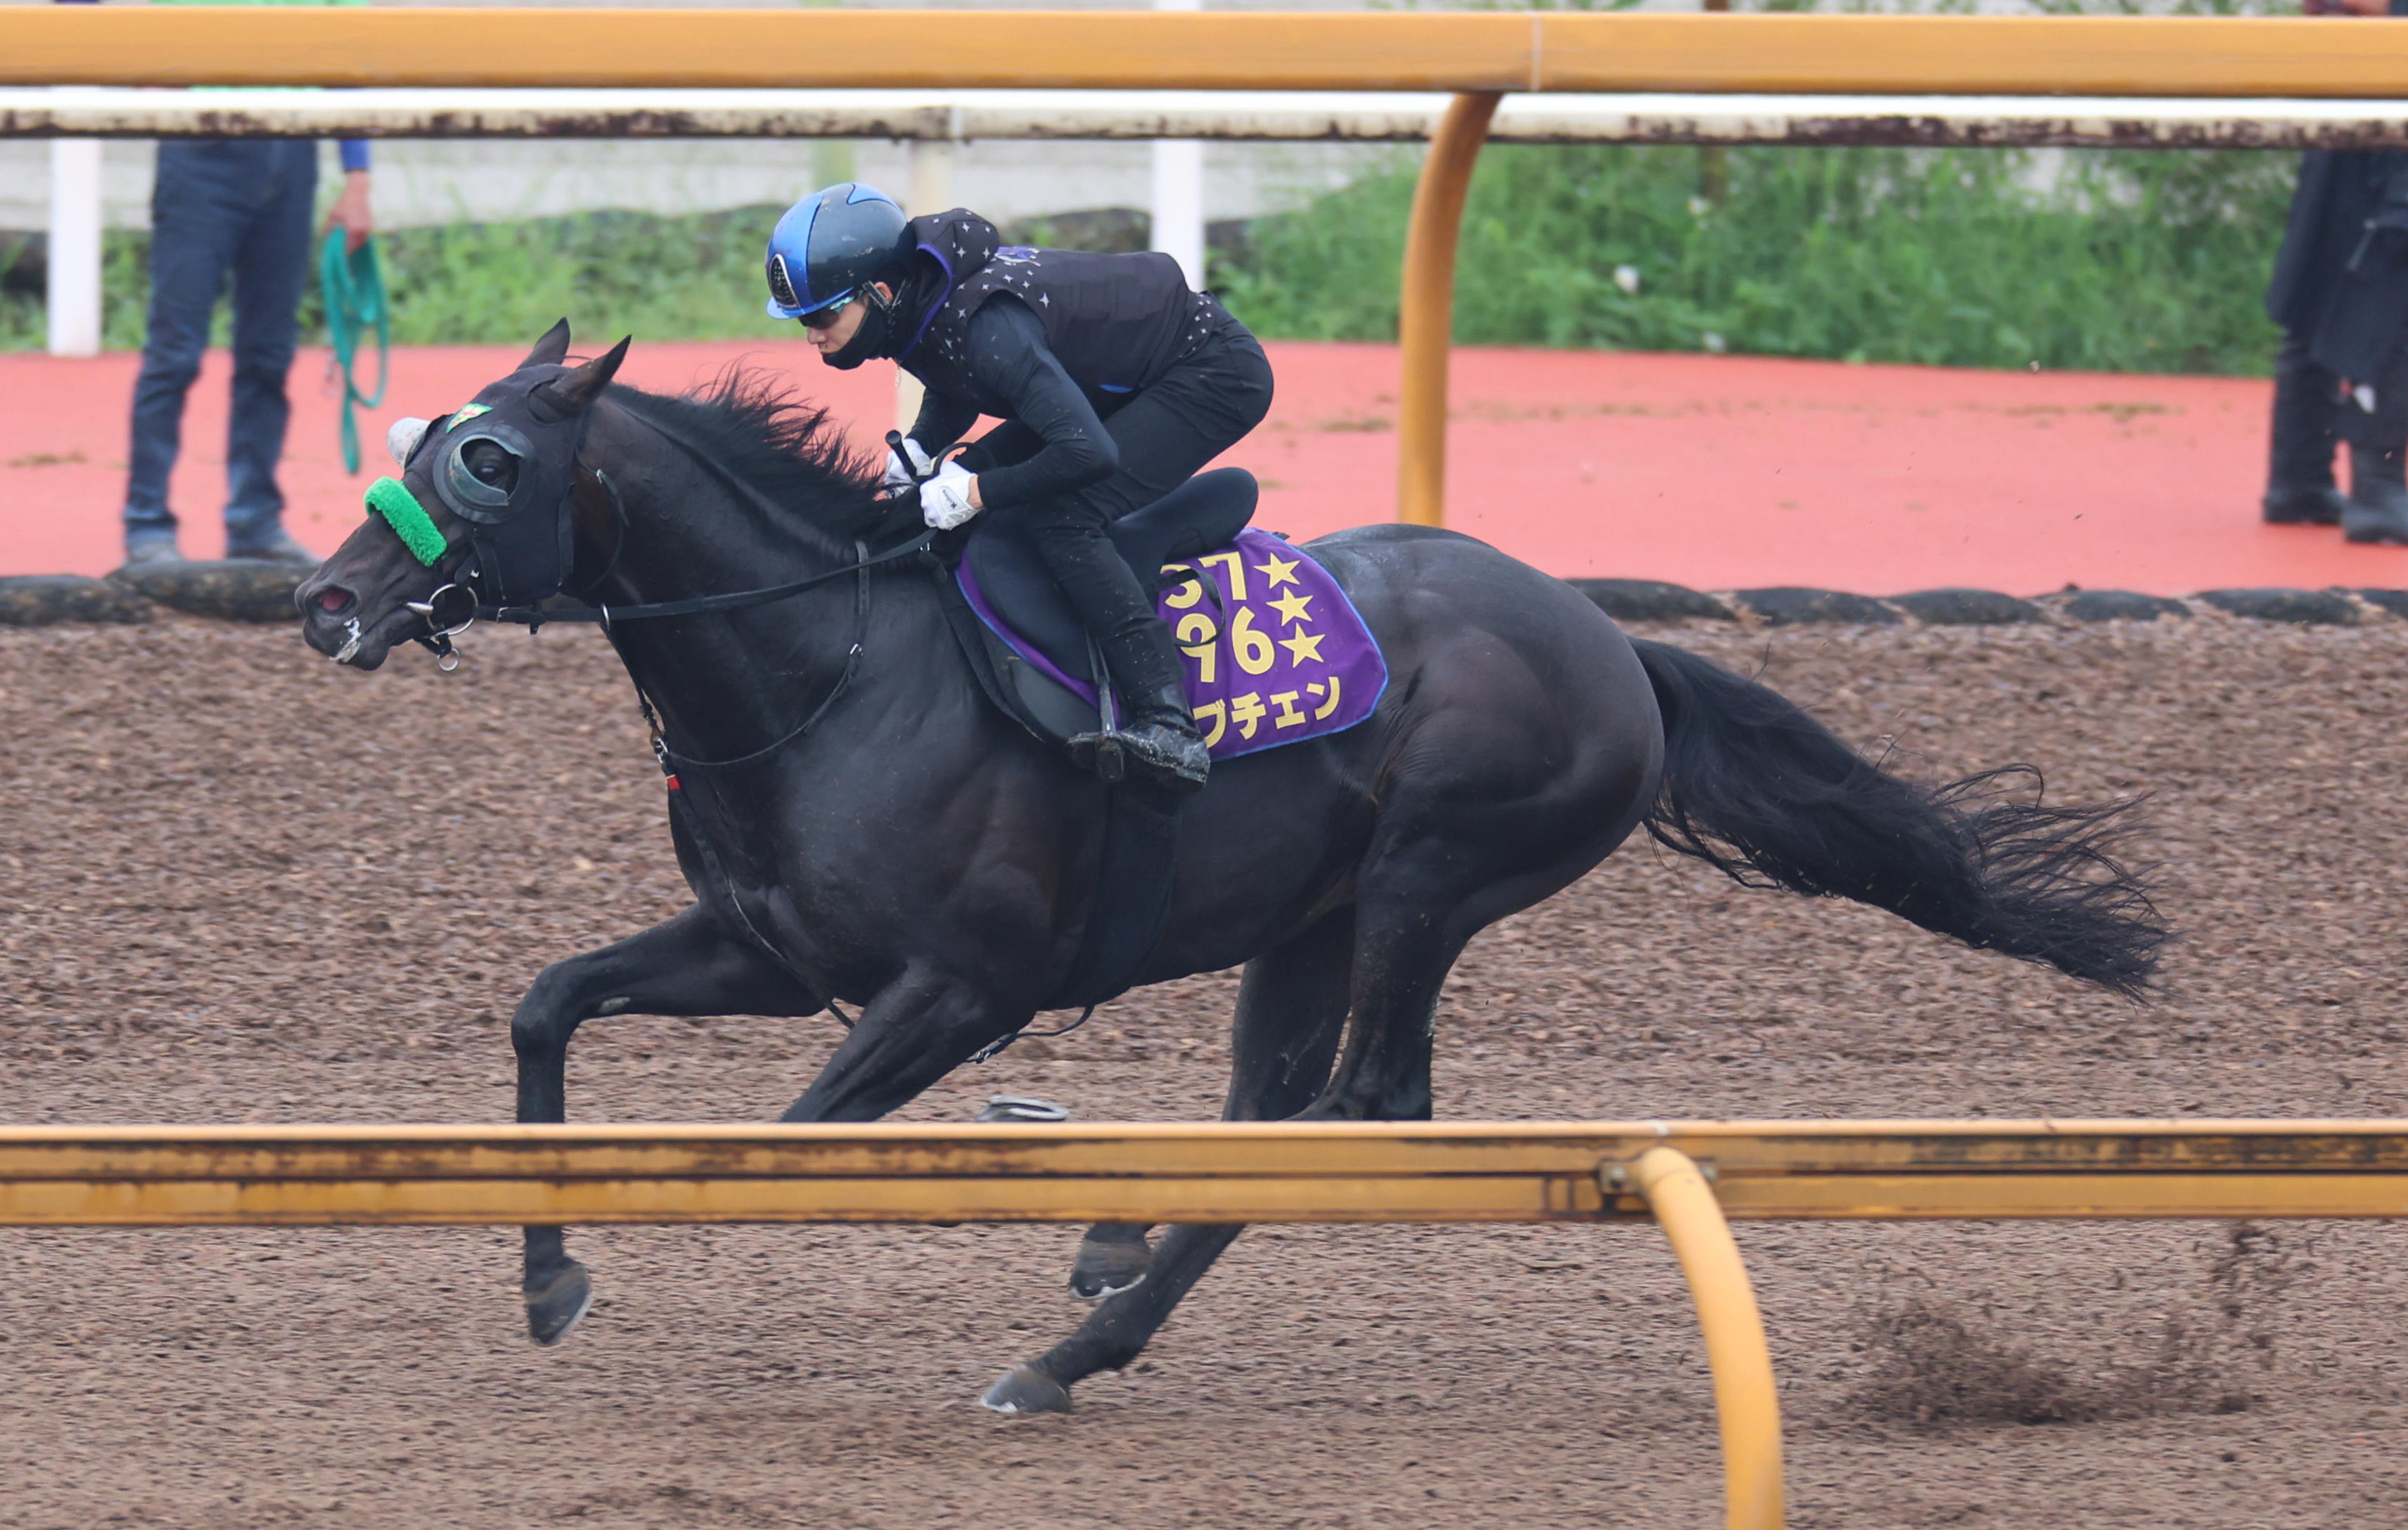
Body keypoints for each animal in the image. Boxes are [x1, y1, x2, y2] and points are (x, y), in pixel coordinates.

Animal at [295, 322, 2167, 1414]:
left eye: (490, 459)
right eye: (425, 431)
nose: (326, 599)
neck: (831, 660)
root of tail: (1615, 642)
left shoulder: (960, 987)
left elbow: (778, 1140)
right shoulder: (766, 947)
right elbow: (550, 1004)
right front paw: (546, 1273)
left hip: (1430, 871)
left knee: (1359, 1107)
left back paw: (1073, 1343)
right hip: (1312, 910)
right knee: (1276, 1099)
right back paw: (1106, 1258)